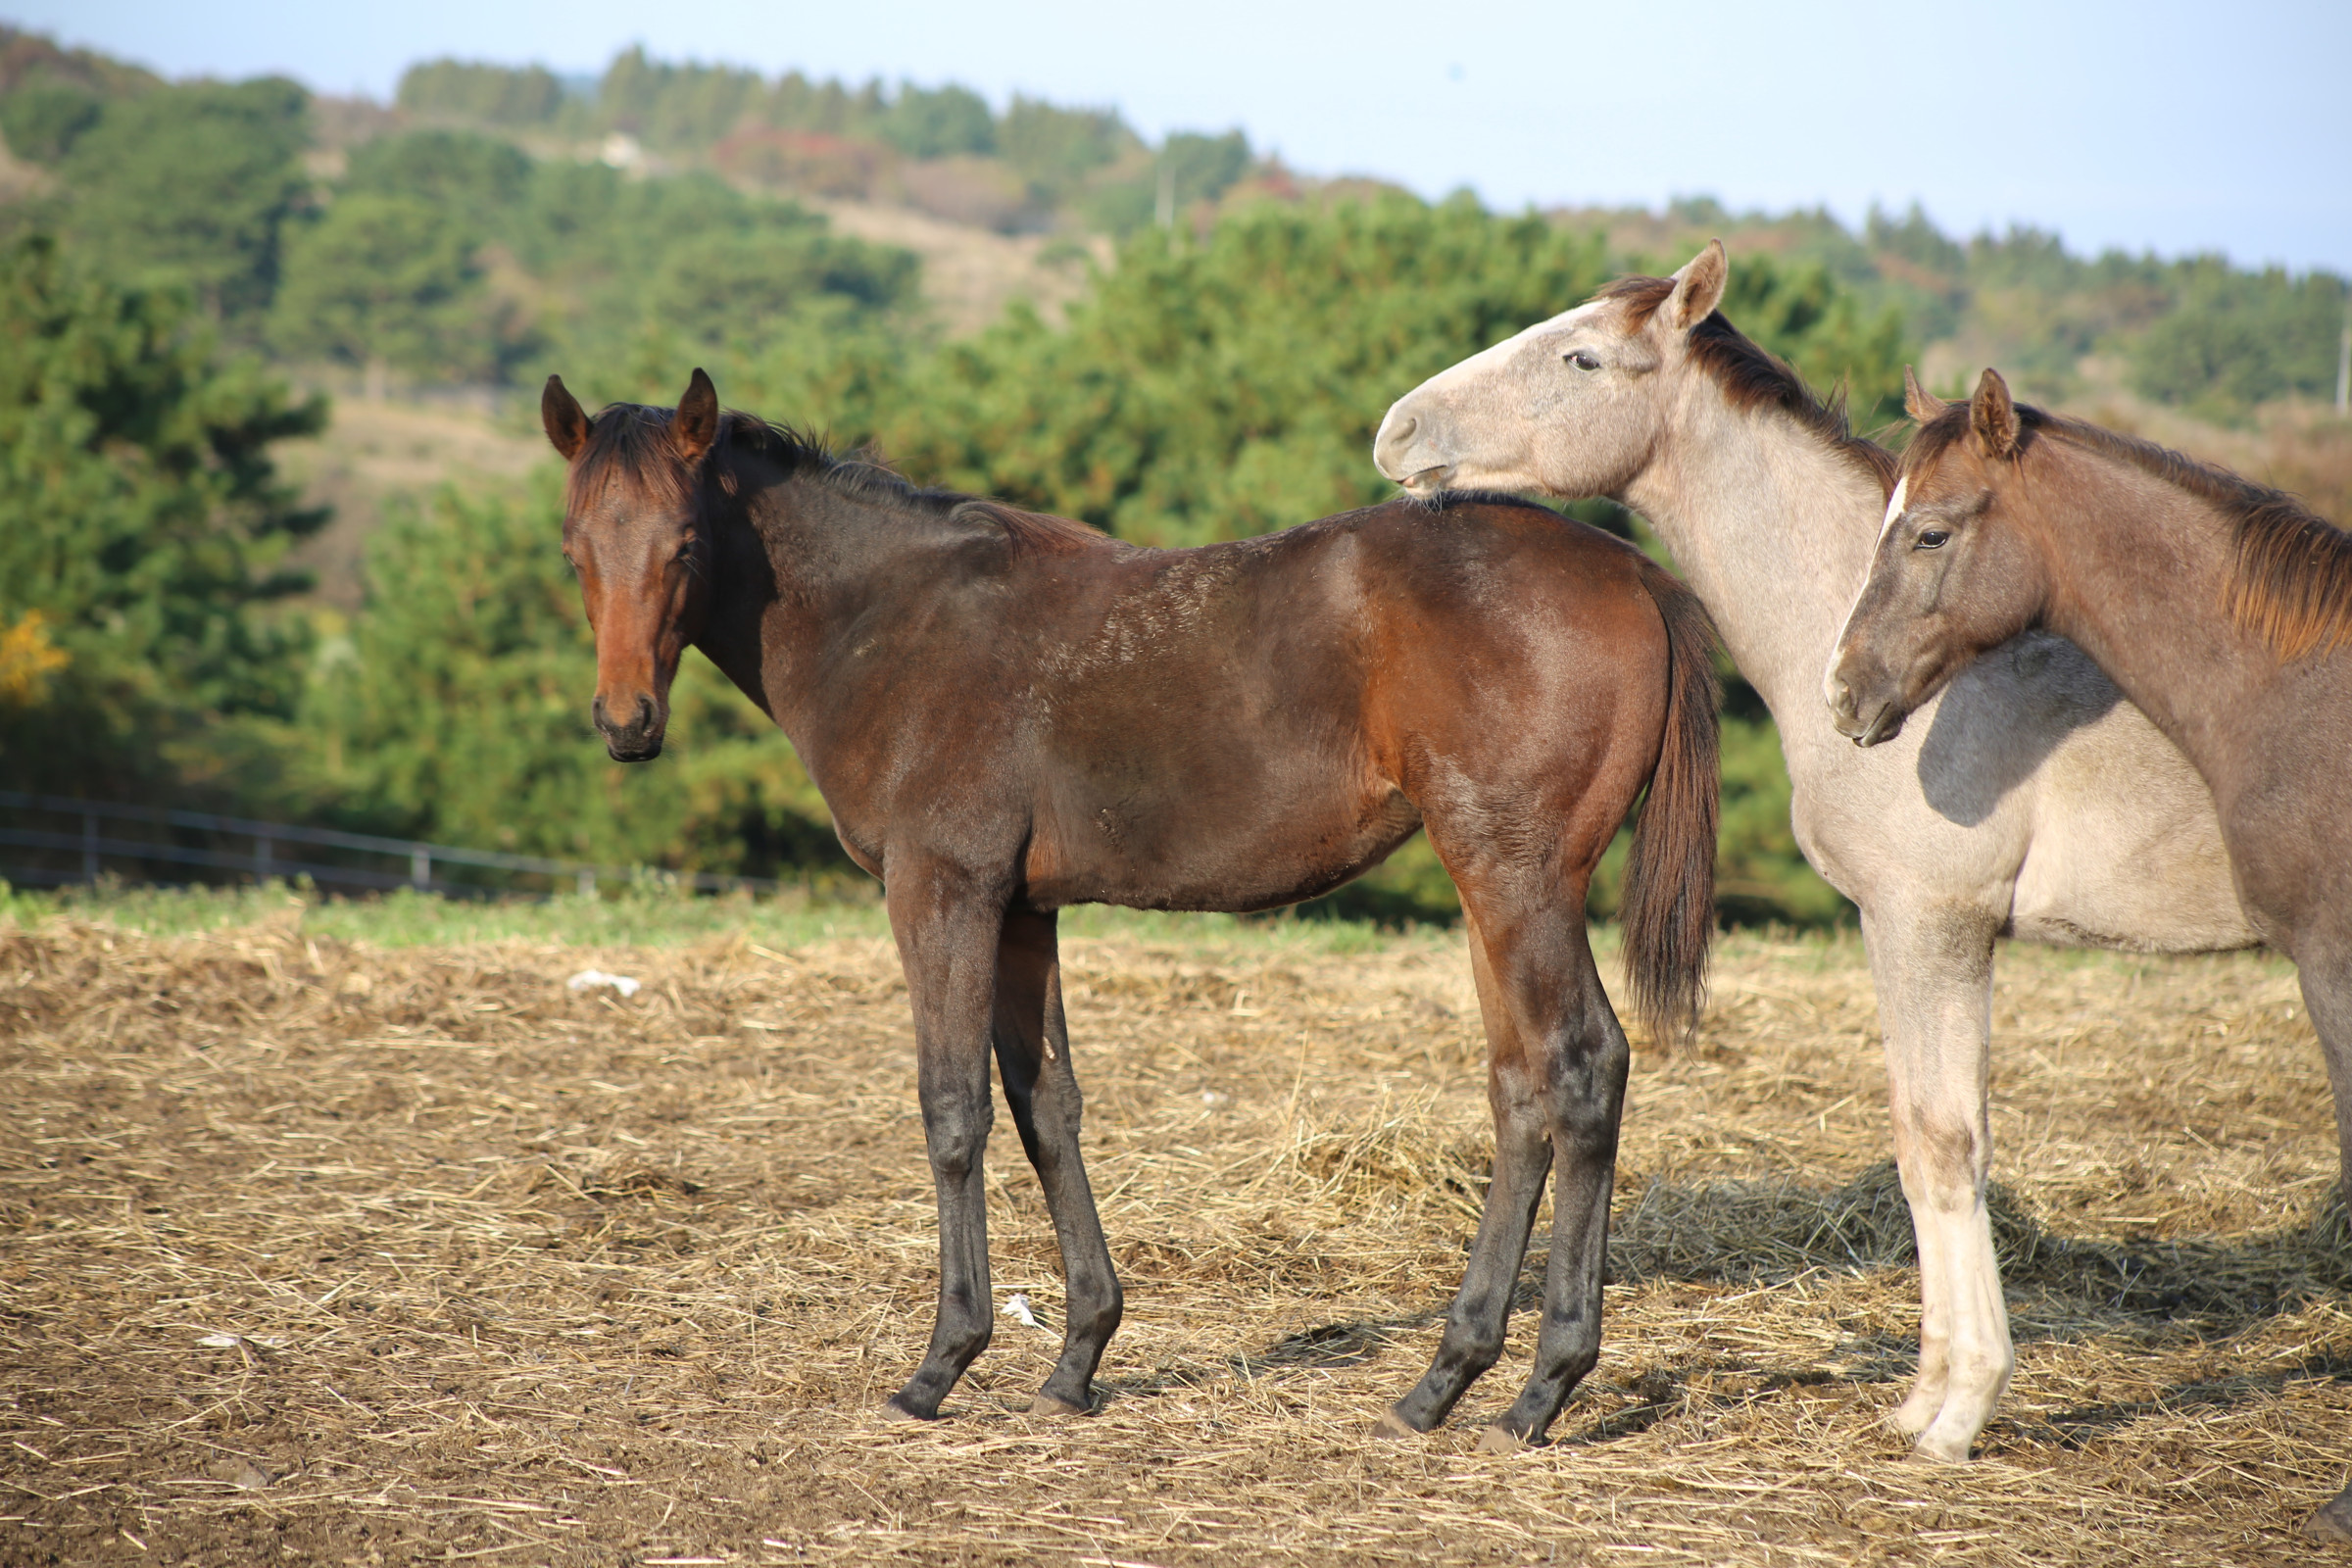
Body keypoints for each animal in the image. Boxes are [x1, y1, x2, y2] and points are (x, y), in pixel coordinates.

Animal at [538, 368, 1722, 1450]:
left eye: (685, 544)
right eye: (573, 548)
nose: (625, 722)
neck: (896, 623)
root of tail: (1631, 571)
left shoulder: (942, 889)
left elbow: (954, 1111)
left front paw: (943, 1362)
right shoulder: (1024, 912)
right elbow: (1046, 1107)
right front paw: (1077, 1360)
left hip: (1518, 877)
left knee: (1582, 1068)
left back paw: (1542, 1388)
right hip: (1489, 886)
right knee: (1521, 1092)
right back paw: (1443, 1380)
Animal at [1370, 244, 2256, 1466]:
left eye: (1582, 356)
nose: (1399, 429)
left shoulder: (1936, 927)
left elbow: (1948, 1143)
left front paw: (1960, 1411)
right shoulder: (1893, 928)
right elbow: (1915, 1147)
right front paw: (1922, 1397)